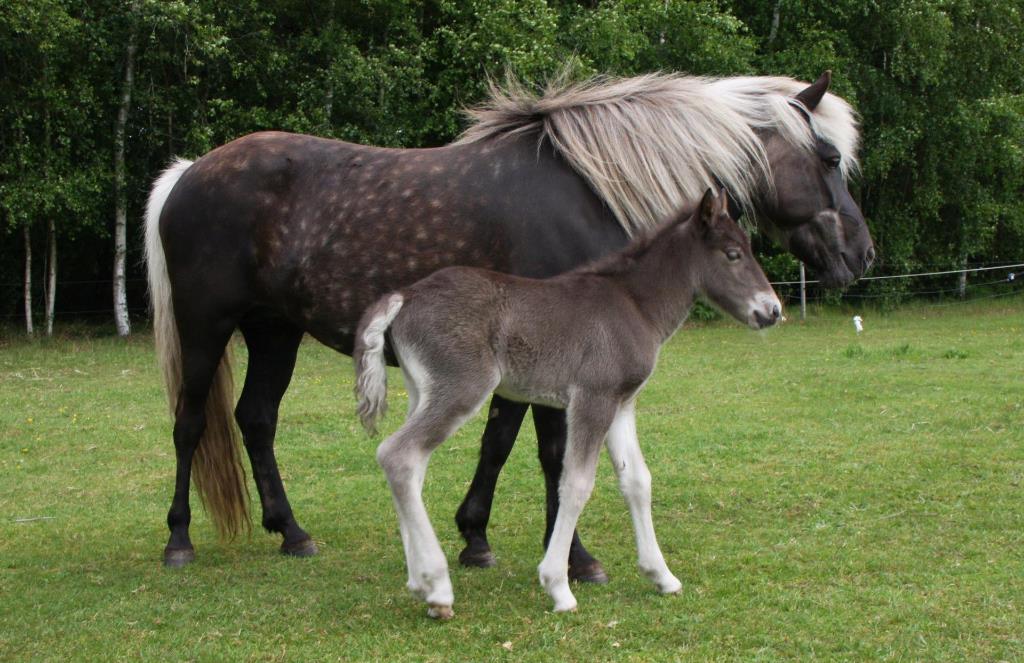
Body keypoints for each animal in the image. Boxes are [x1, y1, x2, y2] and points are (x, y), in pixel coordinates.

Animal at [148, 71, 876, 569]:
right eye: (829, 159)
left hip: (274, 330)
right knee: (190, 423)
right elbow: (555, 456)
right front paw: (576, 558)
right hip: (207, 326)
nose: (862, 254)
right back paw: (179, 539)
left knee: (256, 420)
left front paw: (475, 535)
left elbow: (499, 442)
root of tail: (187, 173)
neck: (588, 189)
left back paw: (292, 532)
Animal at [356, 189, 778, 618]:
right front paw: (558, 586)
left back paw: (419, 583)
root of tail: (405, 295)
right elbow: (575, 483)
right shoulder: (593, 399)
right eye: (732, 254)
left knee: (410, 467)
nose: (772, 310)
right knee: (398, 455)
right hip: (462, 388)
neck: (634, 304)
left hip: (425, 393)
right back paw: (439, 588)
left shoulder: (622, 404)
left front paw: (662, 576)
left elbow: (637, 481)